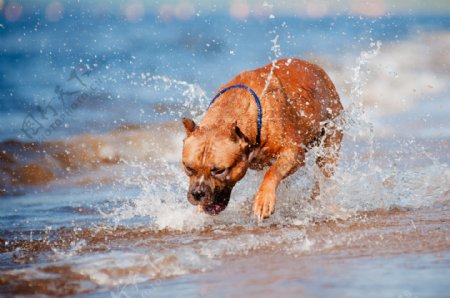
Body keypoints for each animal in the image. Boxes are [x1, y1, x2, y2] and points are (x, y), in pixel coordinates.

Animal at [181, 58, 342, 221]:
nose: (198, 193)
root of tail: (316, 68)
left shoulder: (293, 153)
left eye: (219, 170)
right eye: (188, 168)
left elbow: (272, 172)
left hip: (331, 138)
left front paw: (264, 200)